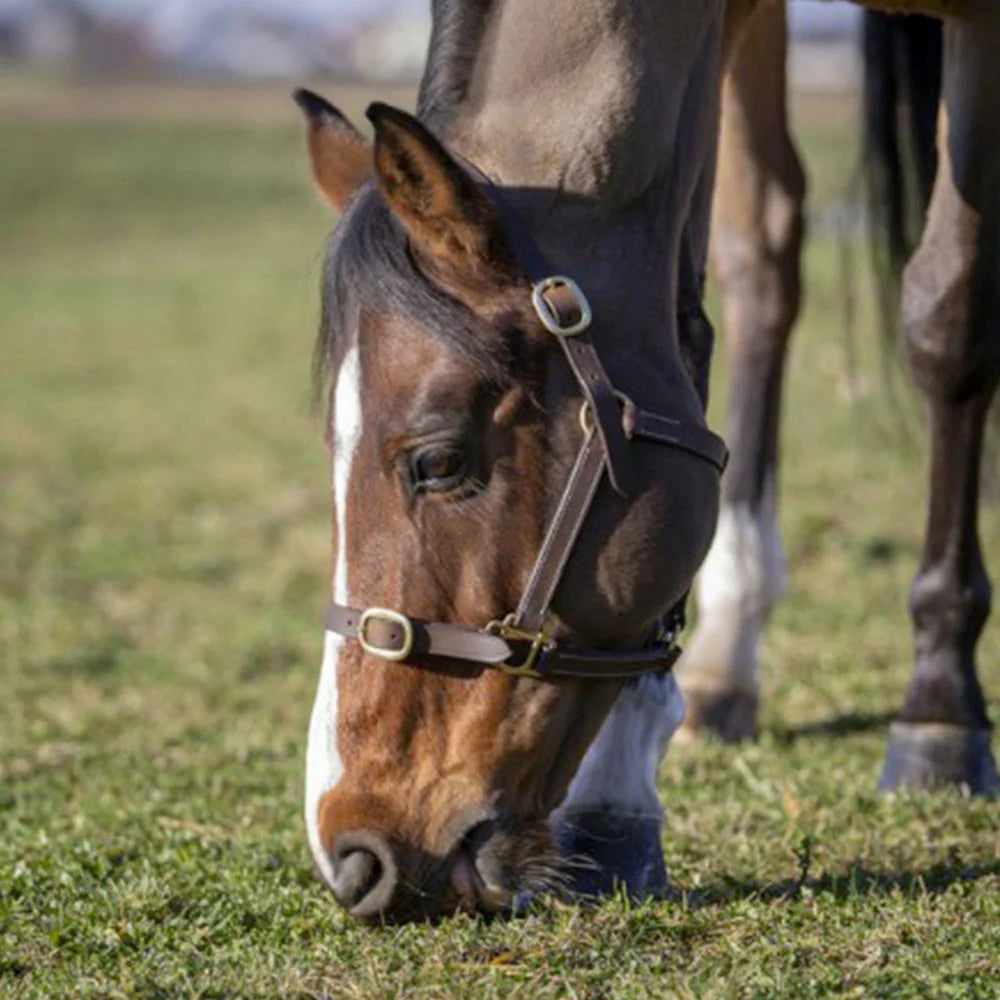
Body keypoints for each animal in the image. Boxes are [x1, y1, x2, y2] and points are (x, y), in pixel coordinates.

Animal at [296, 0, 1000, 920]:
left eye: (439, 461)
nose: (350, 853)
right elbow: (688, 317)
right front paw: (616, 799)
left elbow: (949, 318)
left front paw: (942, 712)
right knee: (763, 253)